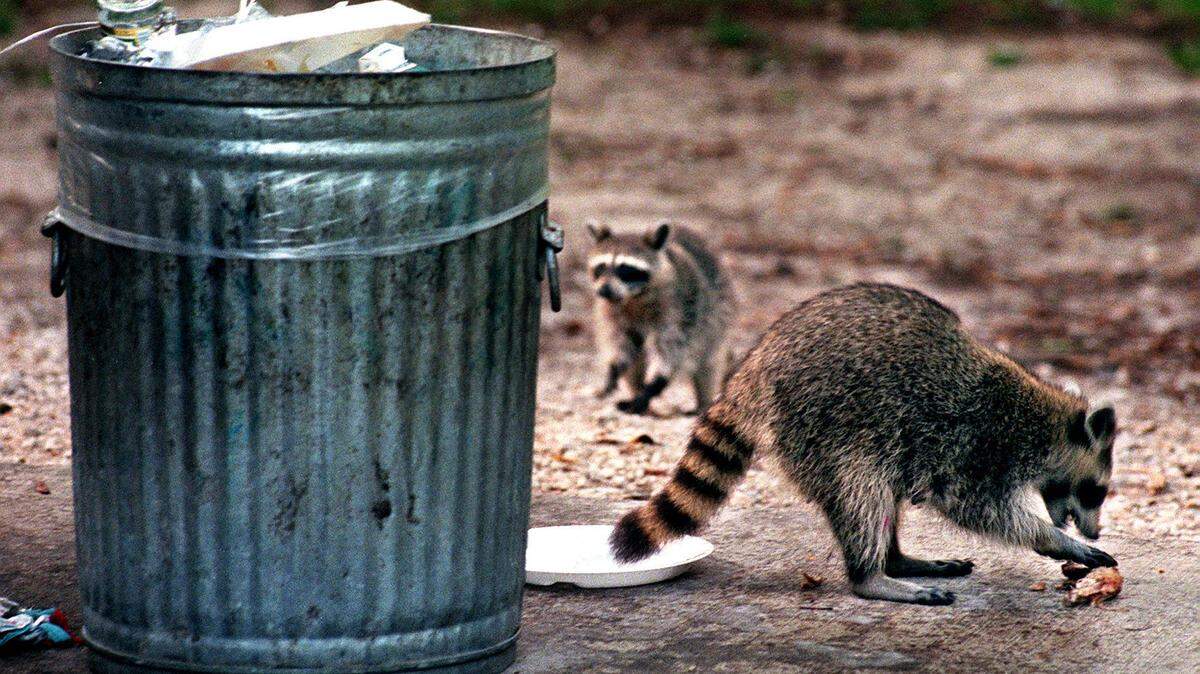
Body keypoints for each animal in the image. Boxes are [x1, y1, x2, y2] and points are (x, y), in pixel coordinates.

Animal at [587, 222, 736, 415]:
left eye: (625, 269)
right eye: (601, 267)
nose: (603, 290)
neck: (634, 297)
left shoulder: (680, 307)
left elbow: (672, 348)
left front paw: (655, 383)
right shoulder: (611, 311)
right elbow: (620, 342)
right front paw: (614, 368)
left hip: (717, 313)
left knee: (708, 362)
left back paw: (702, 401)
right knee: (636, 361)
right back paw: (637, 392)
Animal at [610, 283, 1118, 605]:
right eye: (1095, 490)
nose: (1093, 530)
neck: (1046, 423)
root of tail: (761, 359)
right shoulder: (979, 441)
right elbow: (977, 507)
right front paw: (1052, 538)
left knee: (882, 491)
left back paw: (896, 559)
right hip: (823, 424)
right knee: (862, 491)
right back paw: (871, 575)